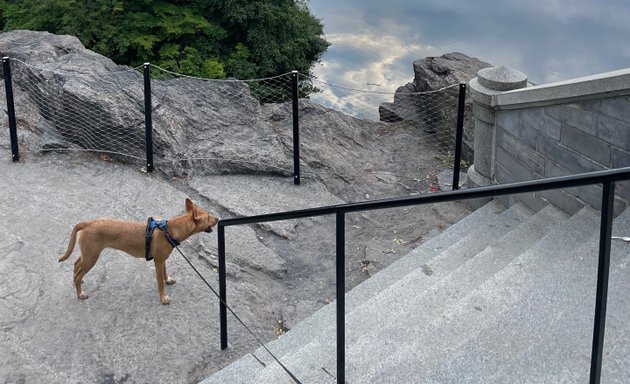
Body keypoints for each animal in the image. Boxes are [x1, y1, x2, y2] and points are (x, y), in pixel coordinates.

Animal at [58, 200, 220, 304]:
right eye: (208, 217)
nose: (218, 218)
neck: (170, 229)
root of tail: (89, 223)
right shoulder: (158, 262)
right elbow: (159, 282)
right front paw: (163, 298)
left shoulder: (162, 260)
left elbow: (165, 273)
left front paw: (168, 280)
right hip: (92, 257)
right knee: (78, 273)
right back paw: (80, 293)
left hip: (87, 254)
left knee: (76, 265)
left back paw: (78, 281)